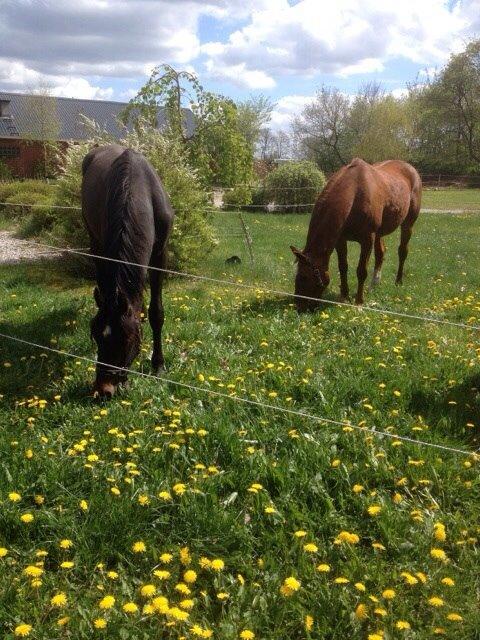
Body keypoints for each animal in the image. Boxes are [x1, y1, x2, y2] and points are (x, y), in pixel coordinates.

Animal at [81, 144, 173, 396]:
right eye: (95, 335)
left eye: (127, 340)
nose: (103, 389)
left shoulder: (160, 254)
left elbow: (156, 312)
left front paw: (158, 364)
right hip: (95, 244)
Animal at [288, 158, 420, 312]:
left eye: (304, 277)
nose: (298, 307)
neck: (355, 195)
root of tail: (410, 168)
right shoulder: (341, 240)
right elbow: (343, 267)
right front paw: (344, 297)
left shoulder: (367, 239)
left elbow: (361, 271)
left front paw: (359, 303)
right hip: (379, 233)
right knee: (380, 253)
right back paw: (374, 285)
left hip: (407, 225)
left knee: (402, 251)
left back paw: (398, 281)